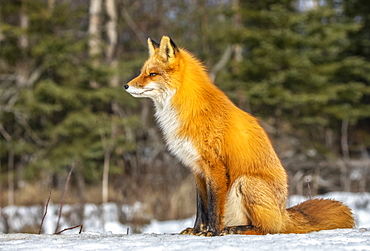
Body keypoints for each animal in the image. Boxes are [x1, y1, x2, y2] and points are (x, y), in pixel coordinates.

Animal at [125, 36, 356, 236]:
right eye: (142, 72)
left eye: (152, 74)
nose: (126, 86)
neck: (187, 109)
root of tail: (284, 213)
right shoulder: (197, 168)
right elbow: (201, 207)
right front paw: (197, 230)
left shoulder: (215, 167)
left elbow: (214, 207)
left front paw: (212, 232)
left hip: (246, 182)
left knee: (268, 229)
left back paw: (236, 229)